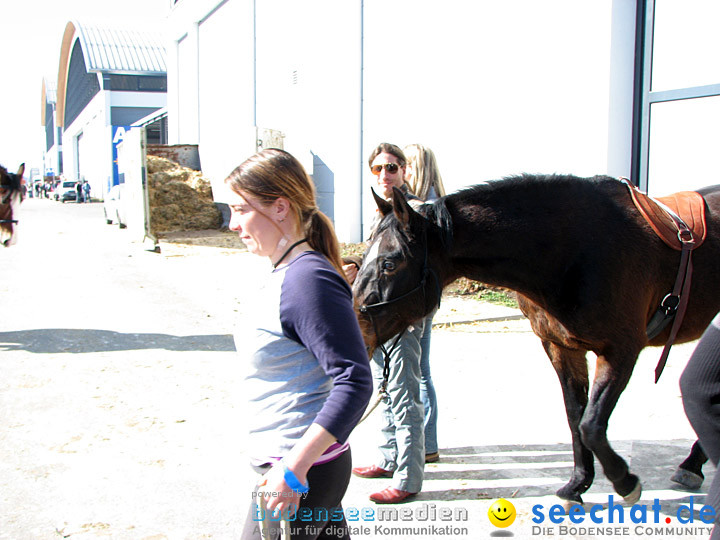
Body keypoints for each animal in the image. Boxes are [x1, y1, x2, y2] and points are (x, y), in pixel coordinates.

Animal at [352, 176, 720, 506]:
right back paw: (692, 464)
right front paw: (577, 484)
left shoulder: (621, 350)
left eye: (389, 262)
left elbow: (591, 425)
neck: (576, 251)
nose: (357, 331)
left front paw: (624, 481)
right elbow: (575, 418)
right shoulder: (561, 348)